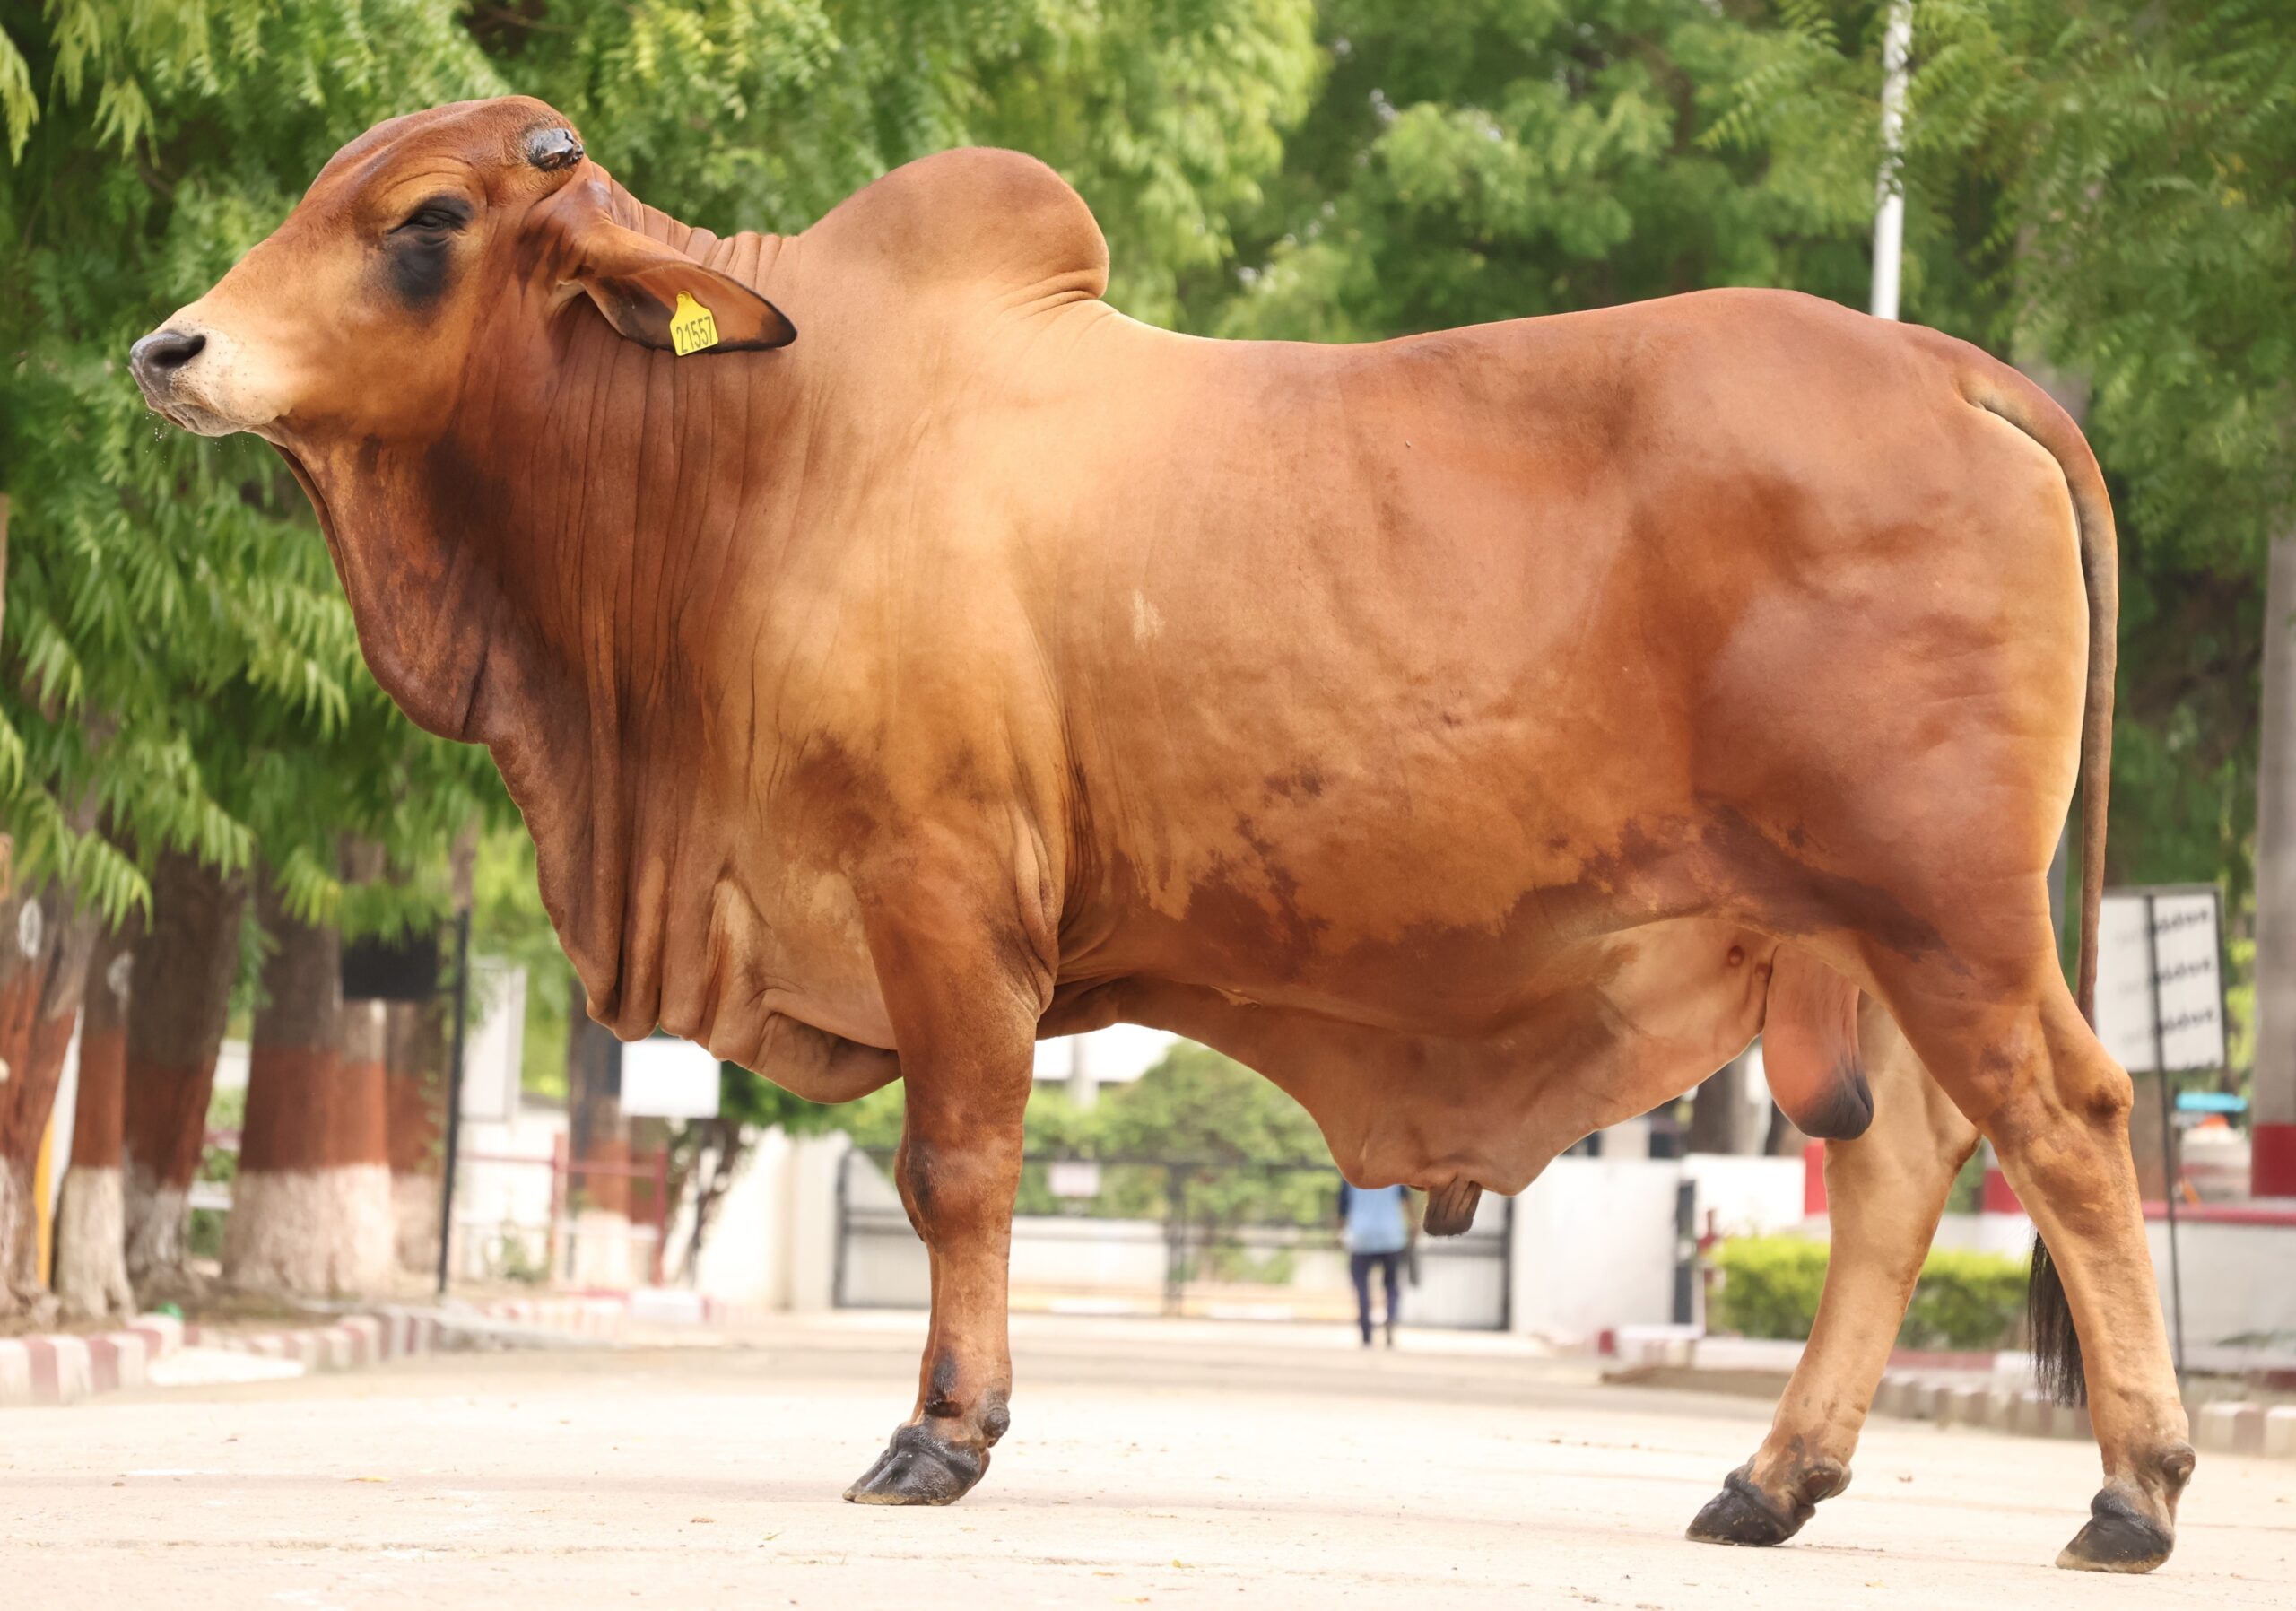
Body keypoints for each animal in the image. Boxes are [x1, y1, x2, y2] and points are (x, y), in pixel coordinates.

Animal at [132, 95, 2190, 1571]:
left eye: (427, 218)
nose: (171, 348)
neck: (753, 444)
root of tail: (1950, 367)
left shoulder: (944, 895)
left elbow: (957, 1169)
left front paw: (940, 1433)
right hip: (1862, 935)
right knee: (1908, 1161)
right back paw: (1773, 1479)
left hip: (1944, 913)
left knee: (2071, 1130)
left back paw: (2132, 1491)